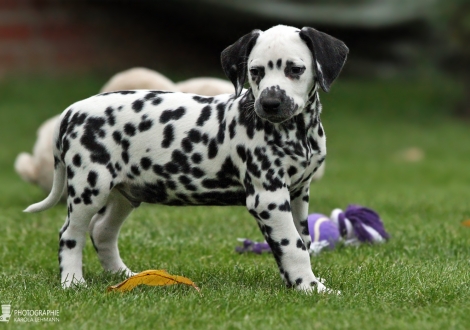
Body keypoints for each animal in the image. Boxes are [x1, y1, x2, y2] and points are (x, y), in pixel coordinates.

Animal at [26, 24, 348, 292]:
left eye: (295, 69)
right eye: (255, 71)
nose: (269, 104)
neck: (298, 132)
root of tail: (72, 111)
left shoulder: (298, 193)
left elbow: (301, 241)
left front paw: (300, 282)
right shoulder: (268, 197)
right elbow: (293, 246)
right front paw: (311, 288)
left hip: (124, 193)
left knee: (102, 231)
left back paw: (124, 277)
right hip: (90, 189)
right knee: (71, 234)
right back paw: (72, 281)